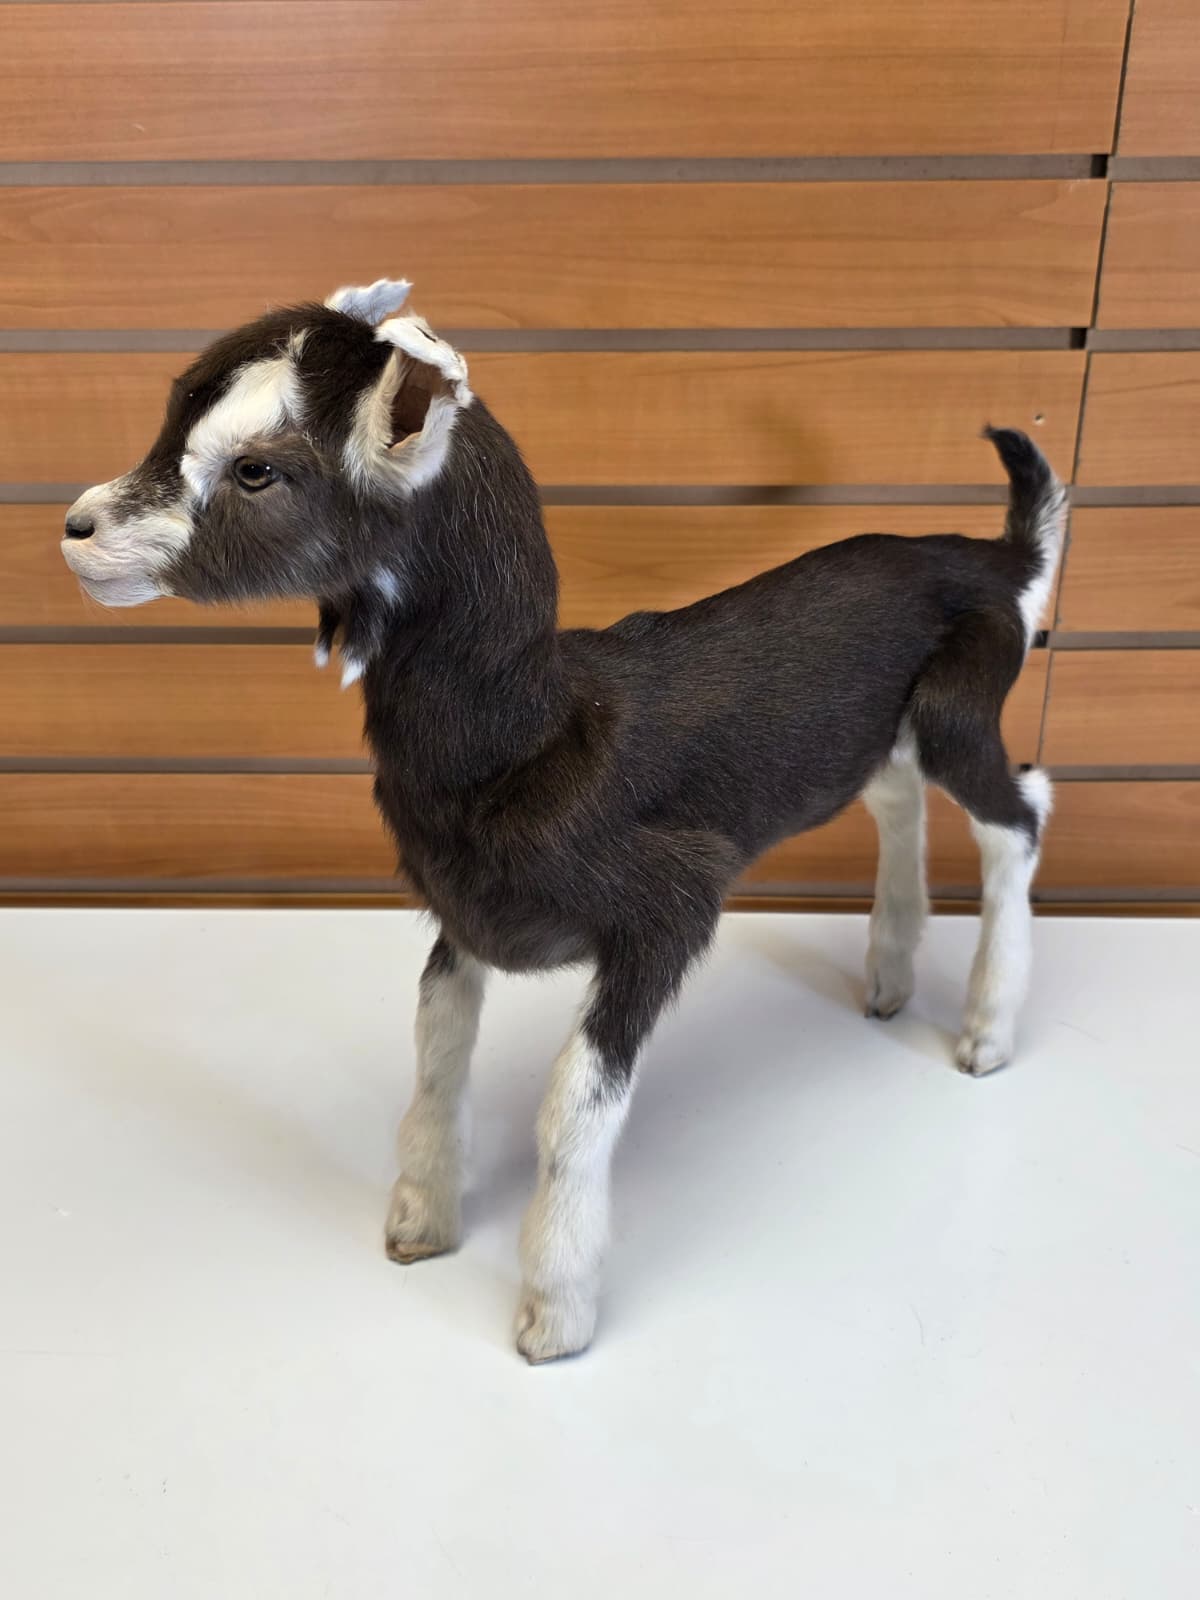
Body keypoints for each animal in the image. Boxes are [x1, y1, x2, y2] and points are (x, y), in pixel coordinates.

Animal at [61, 279, 1062, 1362]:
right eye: (174, 411)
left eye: (257, 469)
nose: (77, 527)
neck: (535, 737)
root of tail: (999, 560)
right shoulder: (464, 915)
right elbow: (436, 1050)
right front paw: (420, 1221)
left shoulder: (669, 909)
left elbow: (573, 1099)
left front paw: (554, 1311)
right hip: (875, 737)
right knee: (897, 795)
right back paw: (886, 979)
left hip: (964, 706)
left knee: (1022, 812)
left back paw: (985, 1035)